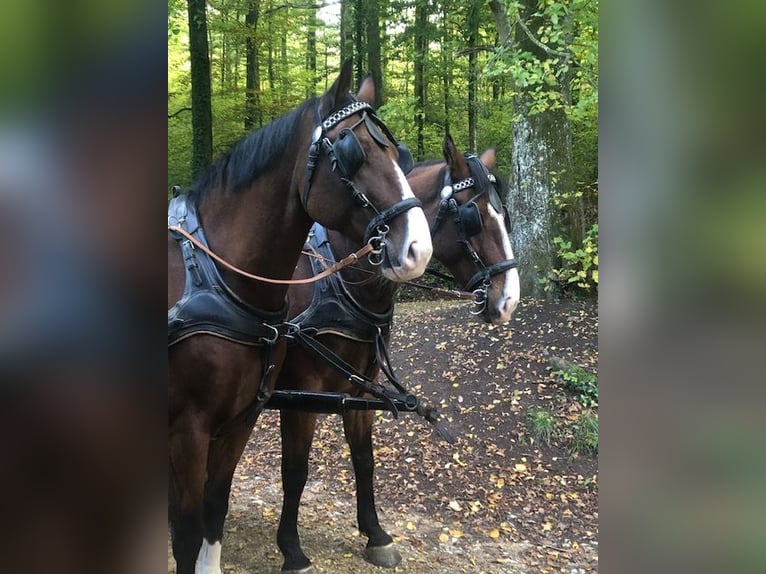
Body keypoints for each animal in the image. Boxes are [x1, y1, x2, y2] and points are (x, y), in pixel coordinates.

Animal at [168, 60, 432, 572]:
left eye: (399, 154)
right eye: (352, 154)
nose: (417, 249)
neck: (218, 280)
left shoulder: (242, 419)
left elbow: (216, 503)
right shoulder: (191, 426)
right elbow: (188, 531)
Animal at [272, 136, 520, 574]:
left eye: (502, 214)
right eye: (472, 216)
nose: (509, 300)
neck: (339, 279)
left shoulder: (361, 392)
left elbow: (364, 460)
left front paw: (376, 534)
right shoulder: (299, 396)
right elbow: (296, 470)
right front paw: (292, 549)